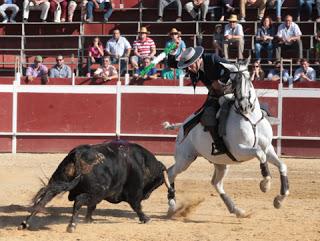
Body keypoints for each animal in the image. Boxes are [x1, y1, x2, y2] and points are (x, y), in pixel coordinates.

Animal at [18, 140, 174, 233]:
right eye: (159, 182)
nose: (146, 195)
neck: (143, 162)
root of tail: (78, 153)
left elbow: (92, 207)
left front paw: (89, 219)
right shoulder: (133, 192)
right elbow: (137, 206)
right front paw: (146, 218)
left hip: (58, 182)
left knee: (43, 200)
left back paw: (25, 223)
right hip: (98, 191)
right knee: (78, 200)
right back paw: (71, 226)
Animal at [166, 58, 288, 218]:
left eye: (248, 77)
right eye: (234, 81)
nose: (244, 105)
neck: (249, 117)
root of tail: (182, 126)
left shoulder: (268, 148)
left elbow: (282, 166)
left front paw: (279, 200)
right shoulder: (239, 150)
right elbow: (260, 154)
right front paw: (265, 185)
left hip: (221, 163)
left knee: (216, 183)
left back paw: (236, 210)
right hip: (185, 159)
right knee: (171, 172)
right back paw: (171, 206)